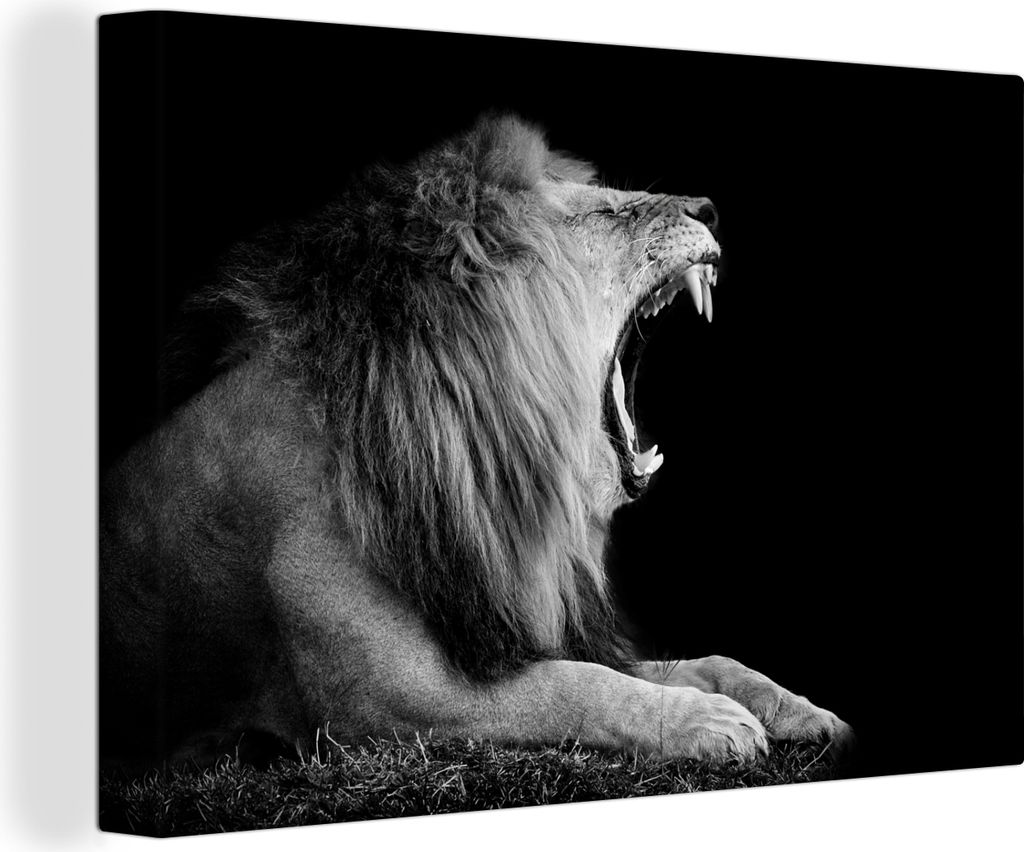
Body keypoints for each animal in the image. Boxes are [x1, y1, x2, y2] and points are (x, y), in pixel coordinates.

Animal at [100, 113, 853, 771]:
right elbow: (574, 687)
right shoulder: (381, 702)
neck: (475, 472)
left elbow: (700, 662)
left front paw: (797, 708)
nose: (710, 208)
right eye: (605, 214)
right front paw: (708, 721)